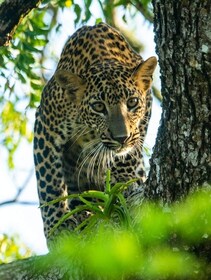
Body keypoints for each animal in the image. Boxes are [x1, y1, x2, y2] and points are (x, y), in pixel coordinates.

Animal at [33, 22, 157, 241]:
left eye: (132, 103)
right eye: (99, 107)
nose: (122, 138)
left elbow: (128, 155)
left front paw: (126, 183)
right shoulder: (45, 126)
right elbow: (49, 183)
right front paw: (56, 226)